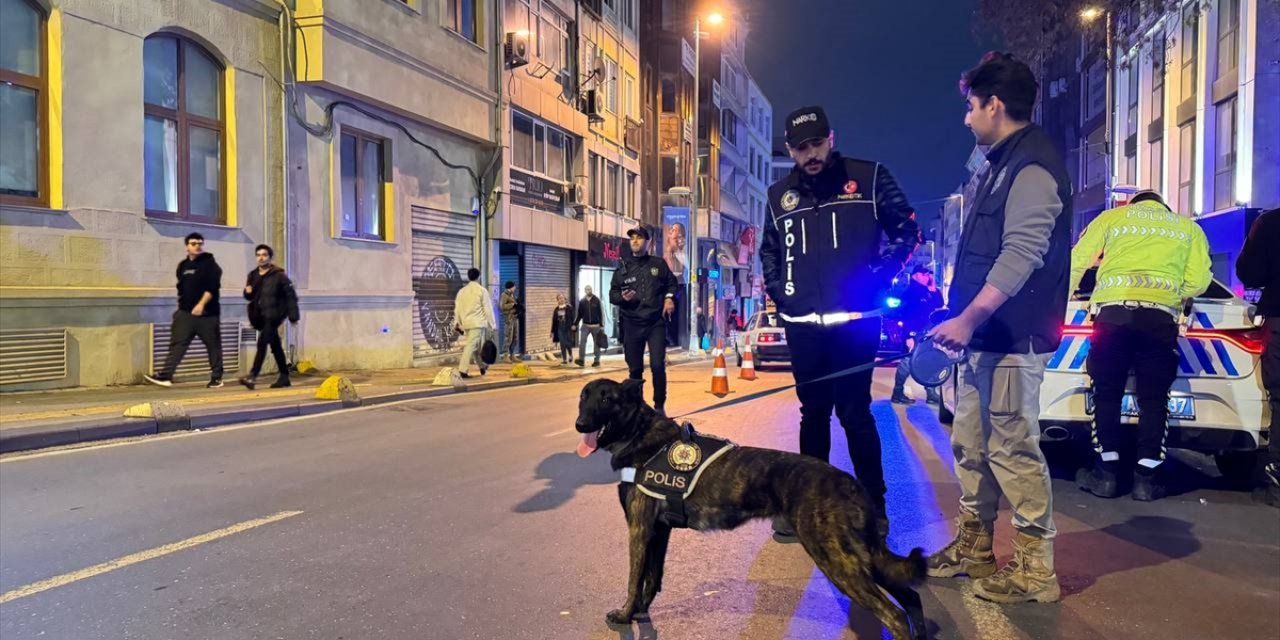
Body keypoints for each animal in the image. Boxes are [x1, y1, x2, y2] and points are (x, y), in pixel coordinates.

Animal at [576, 378, 926, 640]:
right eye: (584, 397)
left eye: (607, 399)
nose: (580, 424)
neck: (639, 432)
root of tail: (851, 484)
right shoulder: (658, 531)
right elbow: (652, 577)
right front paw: (640, 611)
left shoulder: (639, 530)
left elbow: (634, 578)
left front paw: (625, 614)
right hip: (861, 557)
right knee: (911, 597)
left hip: (837, 560)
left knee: (895, 615)